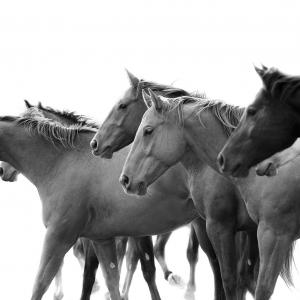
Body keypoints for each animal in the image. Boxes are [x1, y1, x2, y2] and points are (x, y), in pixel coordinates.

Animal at [0, 103, 207, 300]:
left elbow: (42, 283)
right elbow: (110, 279)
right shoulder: (101, 239)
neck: (62, 161)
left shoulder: (58, 236)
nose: (3, 171)